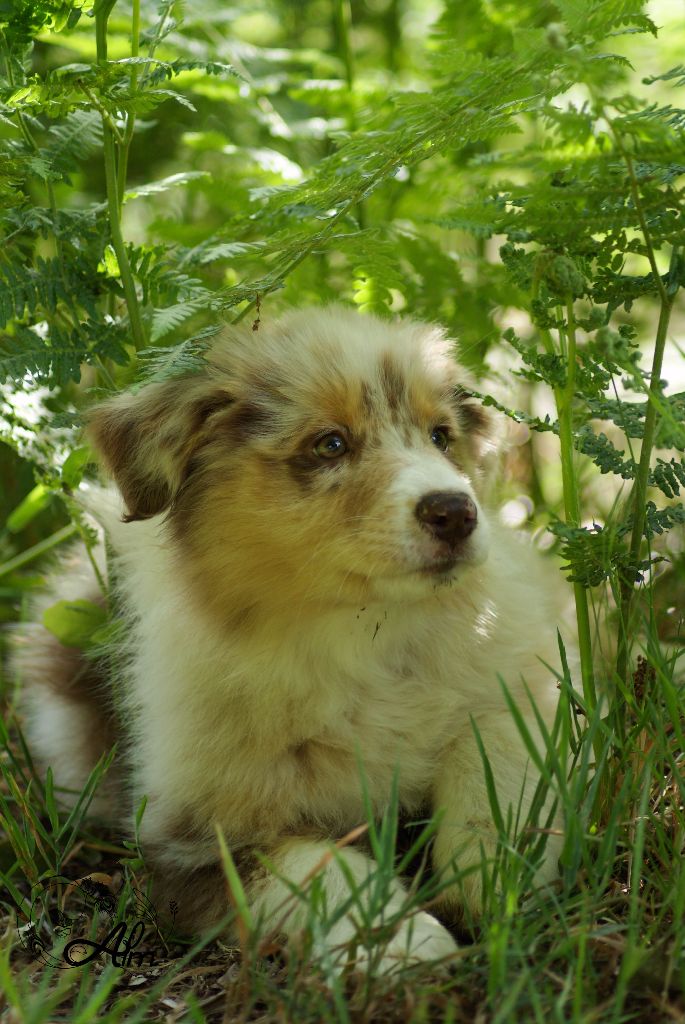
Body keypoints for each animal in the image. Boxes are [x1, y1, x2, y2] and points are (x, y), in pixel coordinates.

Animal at [13, 305, 568, 971]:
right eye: (329, 444)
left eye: (440, 436)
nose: (456, 512)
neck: (364, 633)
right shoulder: (192, 845)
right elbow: (314, 868)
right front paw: (403, 939)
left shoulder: (524, 677)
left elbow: (501, 761)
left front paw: (495, 880)